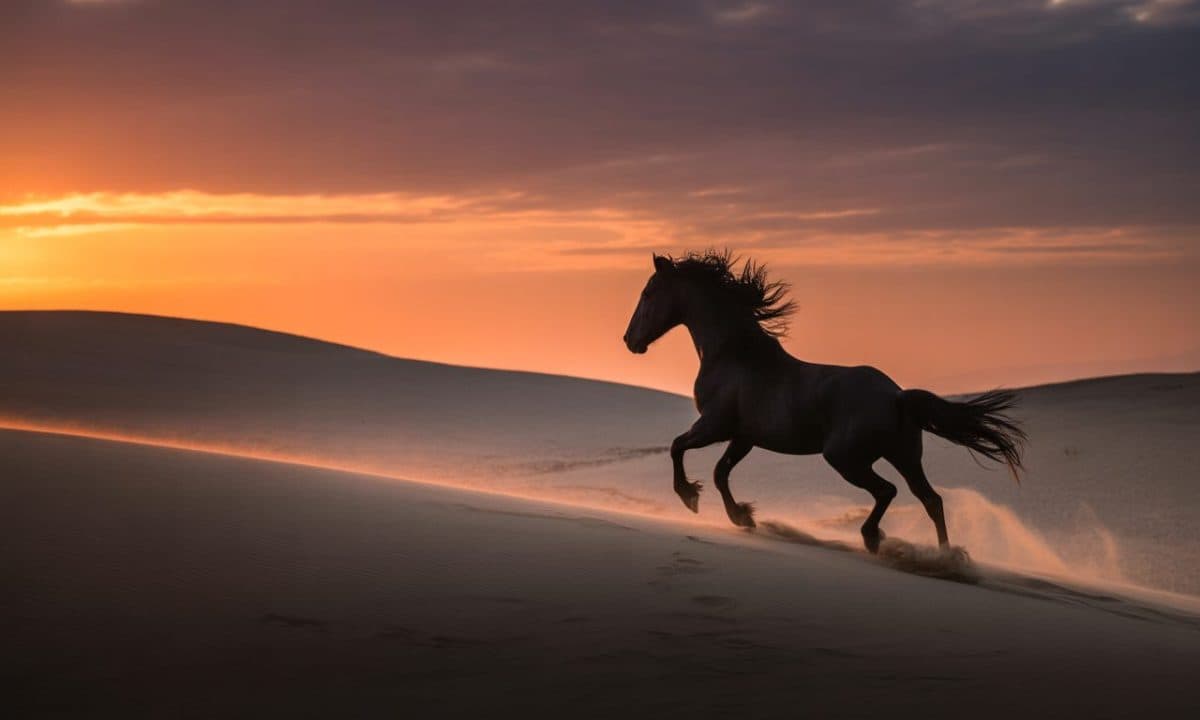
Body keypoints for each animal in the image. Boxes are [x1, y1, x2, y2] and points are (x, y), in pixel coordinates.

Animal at [622, 250, 1026, 553]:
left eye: (647, 293)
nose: (629, 340)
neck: (733, 355)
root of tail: (896, 395)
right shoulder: (744, 437)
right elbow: (721, 473)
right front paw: (744, 516)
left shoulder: (714, 426)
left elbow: (678, 447)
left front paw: (690, 497)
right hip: (905, 457)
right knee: (931, 500)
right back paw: (947, 557)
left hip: (845, 457)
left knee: (889, 491)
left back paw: (873, 538)